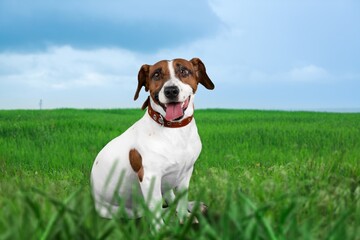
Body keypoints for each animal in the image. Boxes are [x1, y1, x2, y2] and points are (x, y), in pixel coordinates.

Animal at [90, 57, 214, 228]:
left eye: (184, 71)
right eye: (156, 74)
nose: (171, 91)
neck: (174, 130)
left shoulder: (186, 171)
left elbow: (181, 198)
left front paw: (184, 216)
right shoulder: (149, 177)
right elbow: (155, 209)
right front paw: (161, 229)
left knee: (170, 197)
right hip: (125, 210)